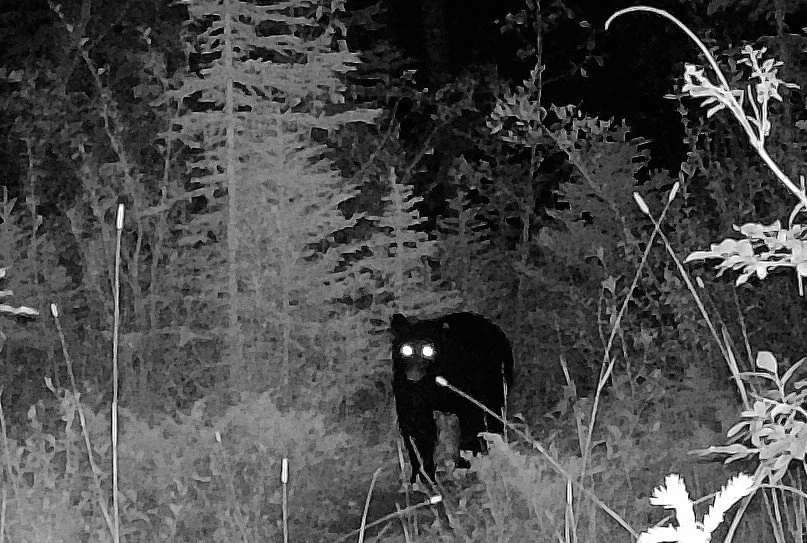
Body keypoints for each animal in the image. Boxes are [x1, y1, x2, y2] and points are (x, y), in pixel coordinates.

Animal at [390, 311, 514, 484]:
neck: (430, 386)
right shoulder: (412, 405)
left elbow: (470, 432)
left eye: (428, 350)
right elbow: (419, 437)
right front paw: (424, 477)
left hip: (494, 391)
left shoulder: (467, 401)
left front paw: (471, 463)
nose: (413, 376)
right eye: (406, 349)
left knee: (492, 420)